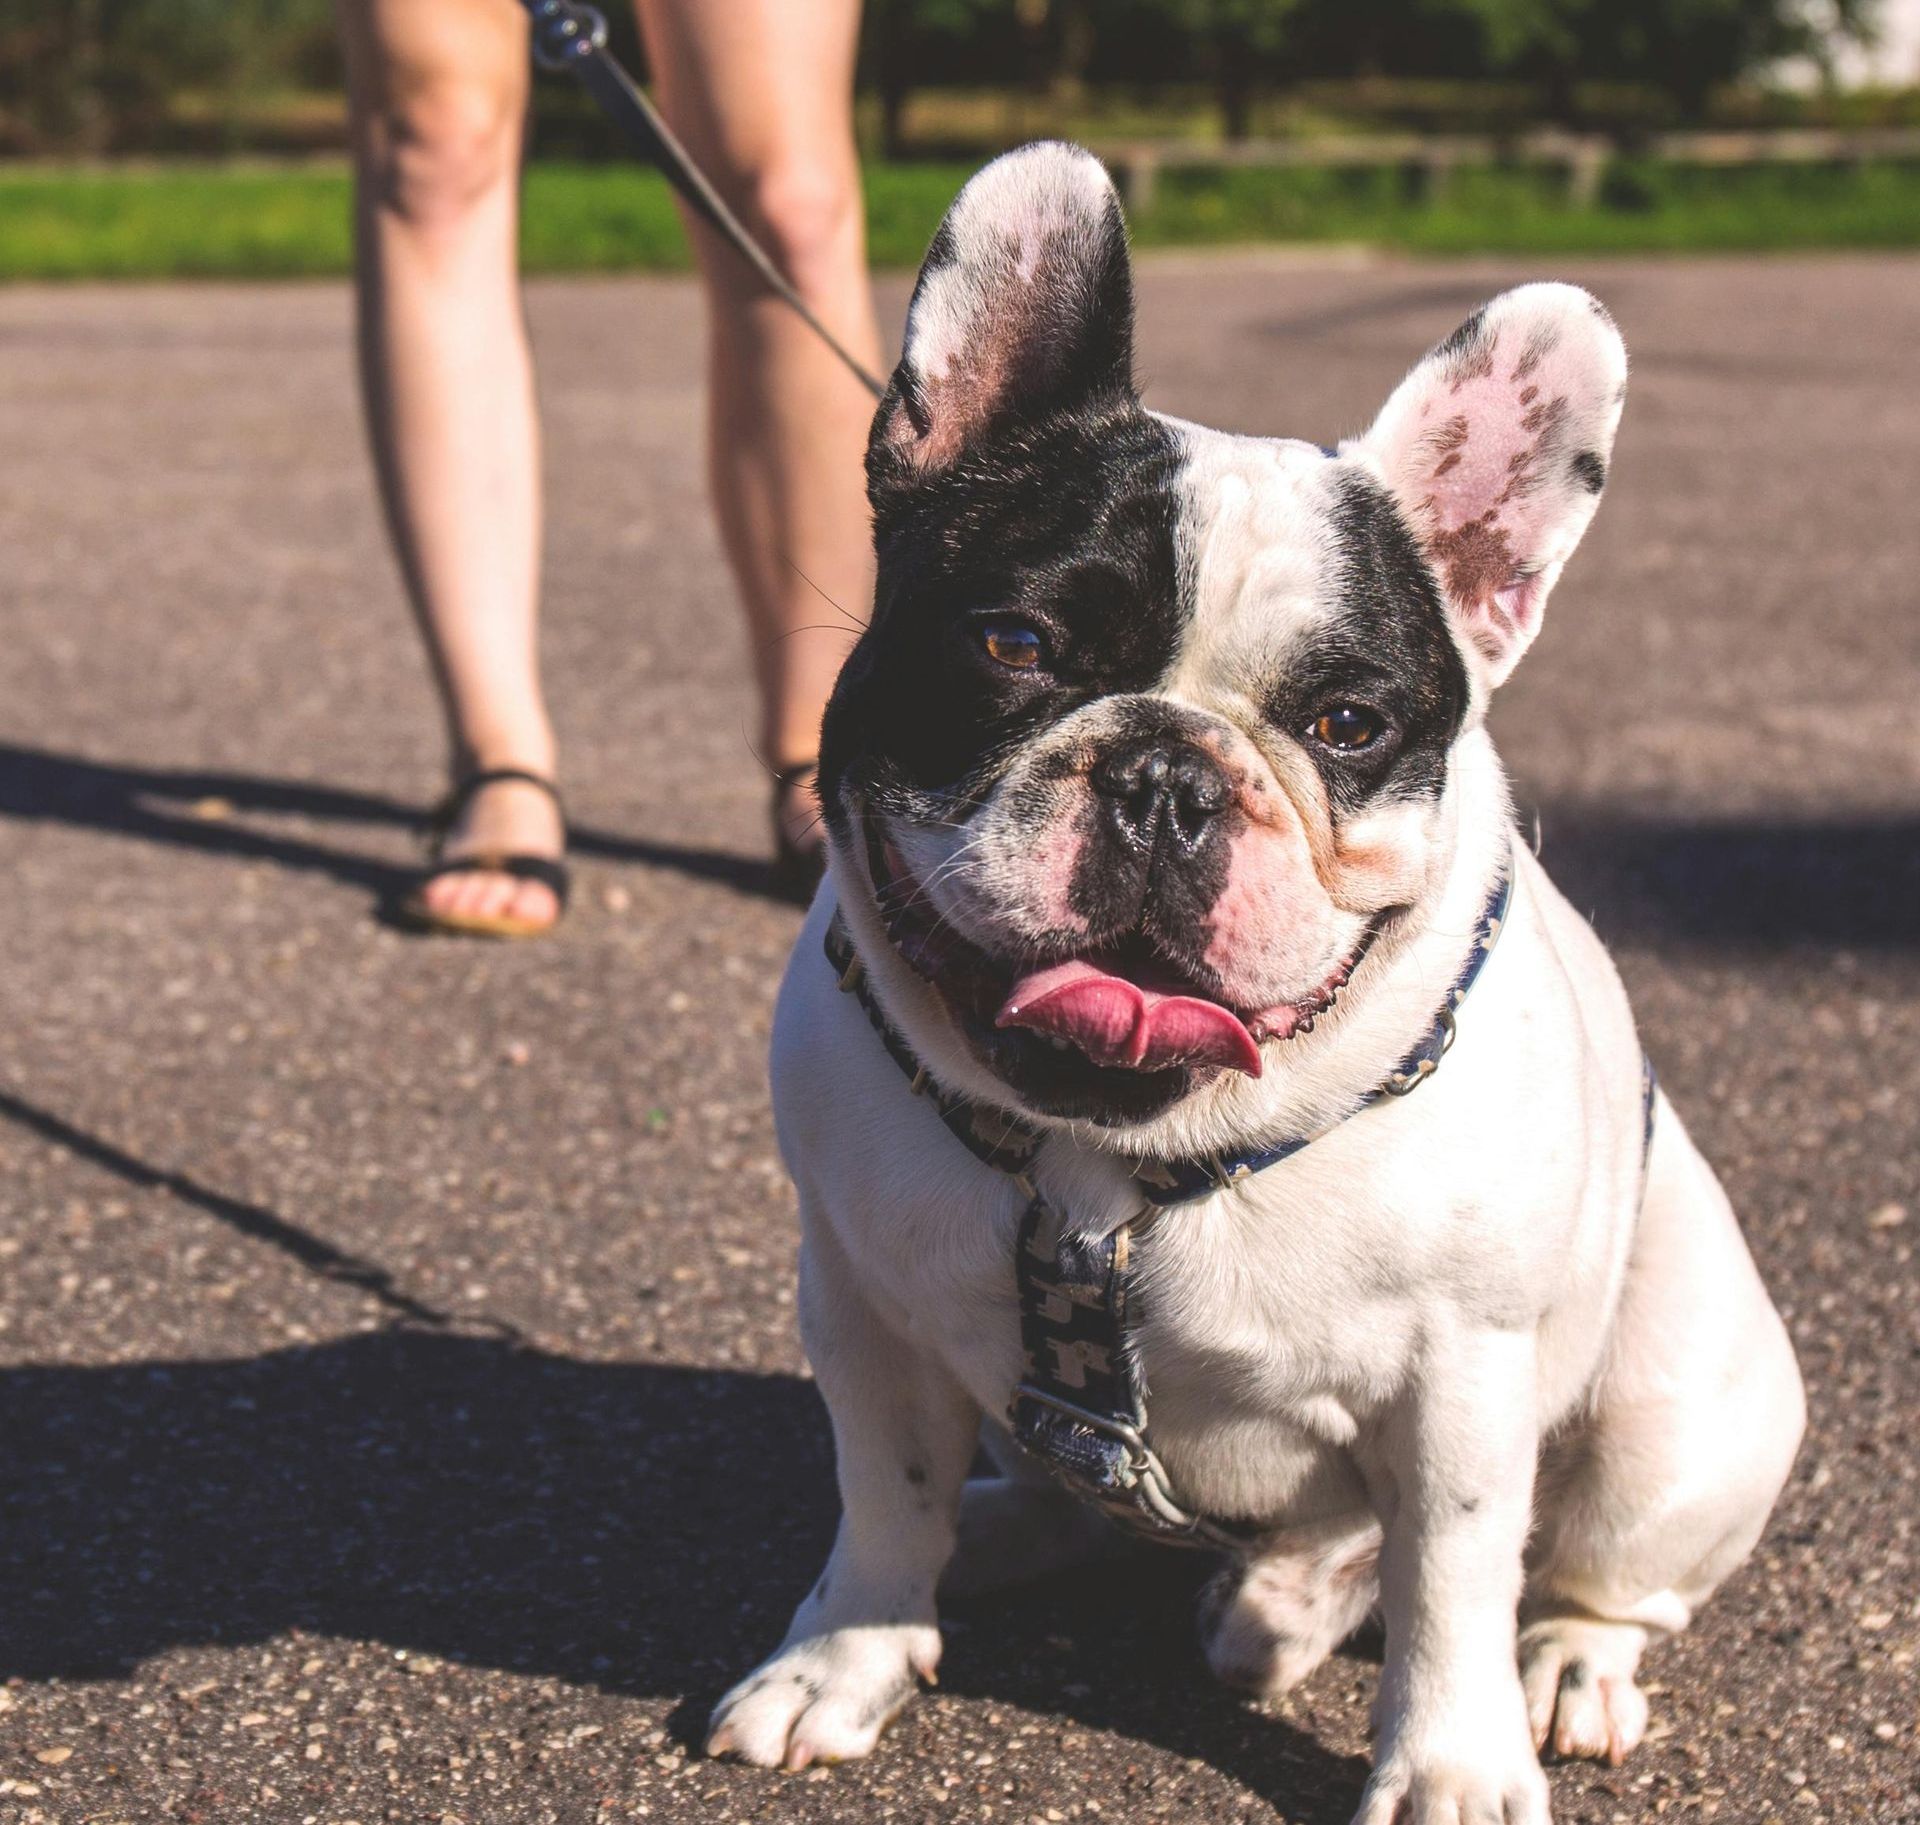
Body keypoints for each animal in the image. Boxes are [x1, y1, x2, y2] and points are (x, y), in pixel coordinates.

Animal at [714, 145, 1804, 1825]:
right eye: (1014, 642)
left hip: (1676, 1417)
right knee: (1056, 1485)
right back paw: (1023, 1526)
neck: (1109, 1157)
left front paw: (1451, 1766)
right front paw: (847, 1655)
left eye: (1348, 723)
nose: (1166, 774)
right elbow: (881, 1496)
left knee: (1594, 1573)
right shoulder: (863, 1309)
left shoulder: (1461, 1381)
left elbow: (1452, 1579)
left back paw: (1558, 1660)